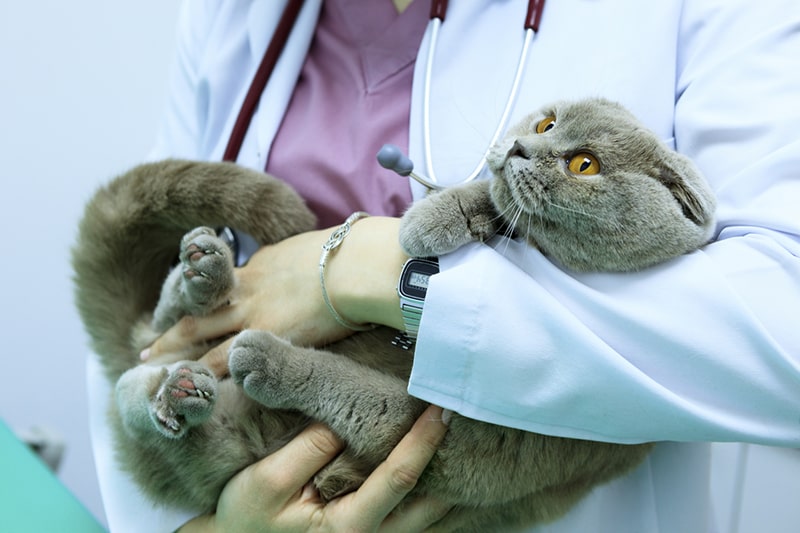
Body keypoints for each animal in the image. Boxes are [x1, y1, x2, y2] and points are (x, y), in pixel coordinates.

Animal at [72, 97, 716, 528]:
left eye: (584, 165)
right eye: (545, 122)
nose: (519, 148)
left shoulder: (447, 437)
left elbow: (352, 390)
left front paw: (271, 360)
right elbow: (488, 200)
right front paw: (434, 216)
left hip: (222, 452)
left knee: (143, 401)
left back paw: (184, 390)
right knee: (155, 336)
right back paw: (203, 277)